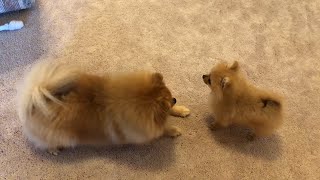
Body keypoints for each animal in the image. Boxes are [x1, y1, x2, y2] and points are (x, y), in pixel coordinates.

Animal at [17, 60, 190, 155]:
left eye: (171, 96)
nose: (175, 99)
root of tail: (34, 102)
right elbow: (162, 129)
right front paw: (172, 130)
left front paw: (181, 110)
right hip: (64, 137)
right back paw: (52, 149)